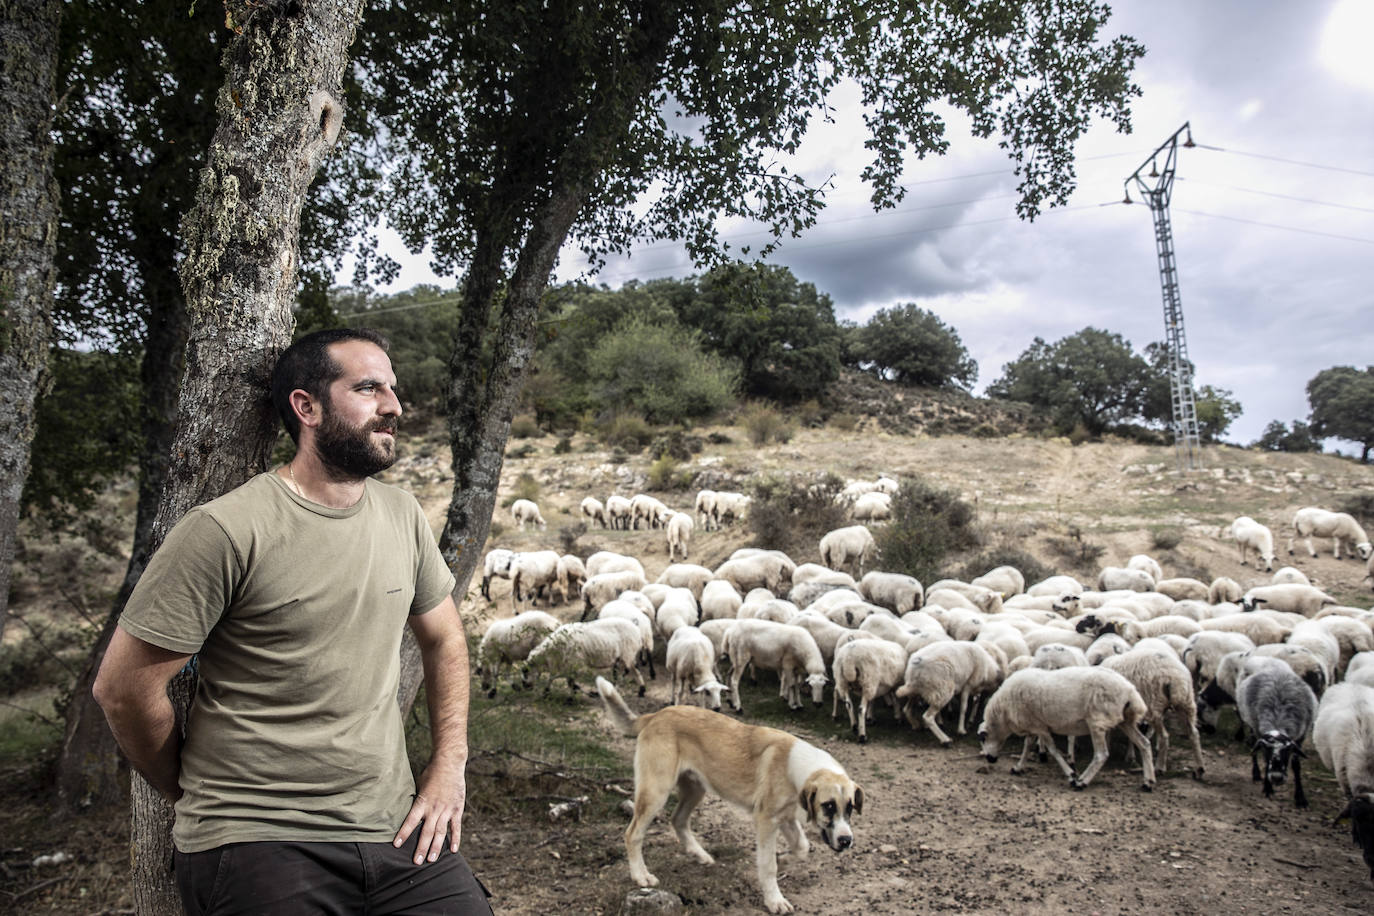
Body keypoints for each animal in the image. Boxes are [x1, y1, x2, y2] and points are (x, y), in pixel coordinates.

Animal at [596, 672, 862, 911]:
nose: (846, 841)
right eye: (828, 806)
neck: (796, 768)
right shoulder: (766, 821)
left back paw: (700, 855)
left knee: (678, 819)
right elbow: (768, 866)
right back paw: (641, 876)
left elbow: (802, 848)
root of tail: (656, 715)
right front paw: (774, 900)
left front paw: (784, 859)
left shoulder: (786, 818)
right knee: (633, 834)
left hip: (695, 789)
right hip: (656, 792)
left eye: (850, 807)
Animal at [978, 661, 1159, 791]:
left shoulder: (1040, 726)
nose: (990, 759)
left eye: (983, 738)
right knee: (1144, 744)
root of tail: (1131, 692)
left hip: (1097, 722)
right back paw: (1148, 782)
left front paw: (1071, 774)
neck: (1003, 714)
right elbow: (1027, 745)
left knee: (1101, 755)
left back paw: (1082, 782)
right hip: (1125, 721)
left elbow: (1052, 750)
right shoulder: (1033, 724)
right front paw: (1018, 767)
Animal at [1099, 642, 1198, 780]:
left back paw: (1160, 767)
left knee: (1164, 737)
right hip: (1186, 701)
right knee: (1194, 733)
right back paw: (1200, 769)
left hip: (1154, 704)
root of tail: (1174, 677)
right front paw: (1130, 755)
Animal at [1236, 659, 1319, 807]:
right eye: (1267, 749)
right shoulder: (1259, 731)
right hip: (1250, 722)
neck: (1278, 718)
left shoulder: (1301, 737)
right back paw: (1256, 774)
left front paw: (1300, 798)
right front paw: (1267, 788)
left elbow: (1296, 765)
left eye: (1287, 750)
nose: (1276, 777)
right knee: (1252, 745)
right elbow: (1264, 759)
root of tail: (1266, 660)